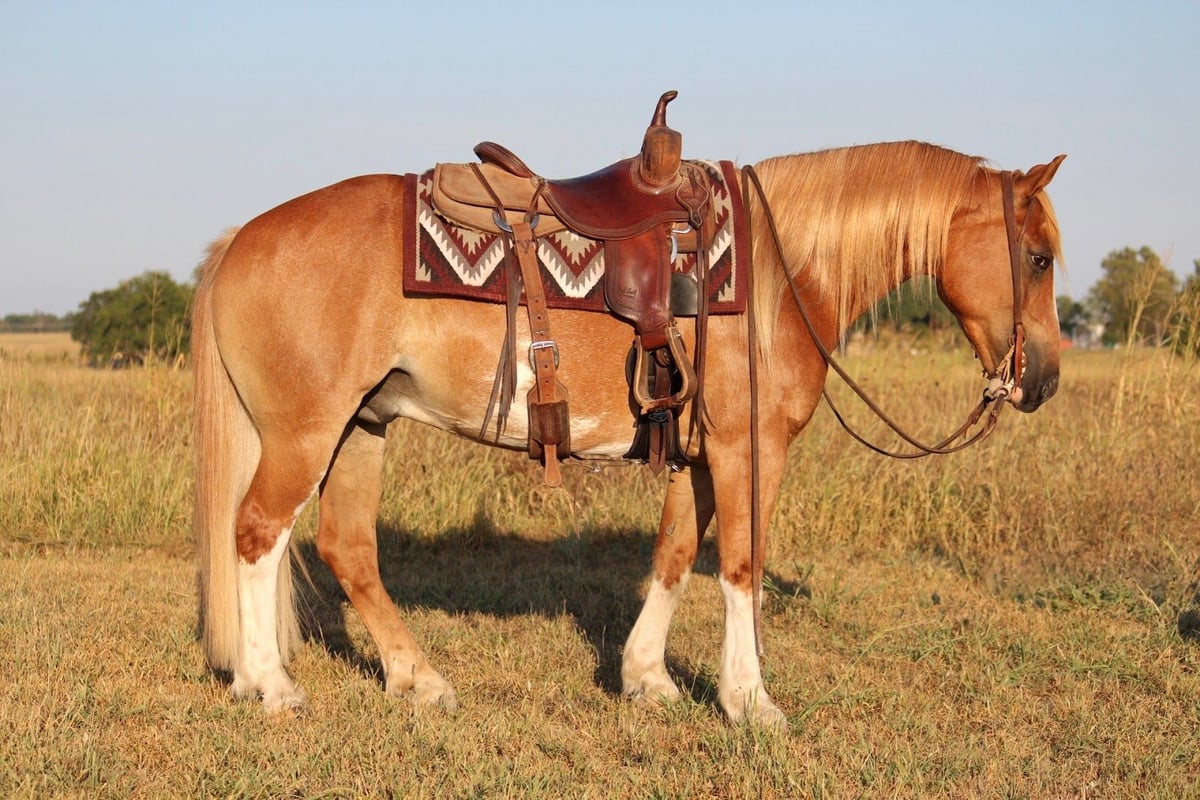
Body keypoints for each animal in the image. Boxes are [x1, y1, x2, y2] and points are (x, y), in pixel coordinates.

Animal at [192, 138, 1065, 728]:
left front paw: (649, 678)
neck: (779, 275)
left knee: (344, 548)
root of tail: (240, 238)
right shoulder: (750, 449)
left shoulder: (698, 456)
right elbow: (741, 567)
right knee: (257, 533)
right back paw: (271, 685)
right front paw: (751, 701)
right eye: (1039, 257)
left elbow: (674, 557)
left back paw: (417, 680)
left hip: (361, 427)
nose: (1044, 381)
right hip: (307, 433)